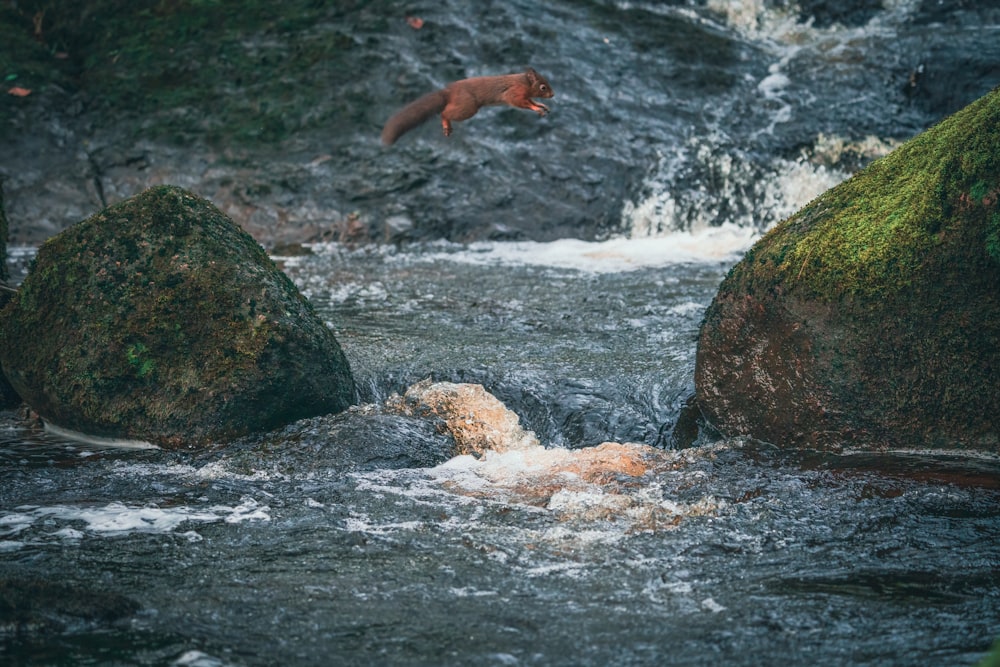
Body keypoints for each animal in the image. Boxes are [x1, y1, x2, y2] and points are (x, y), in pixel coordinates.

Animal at [380, 67, 556, 145]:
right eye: (543, 87)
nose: (553, 94)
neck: (524, 82)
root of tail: (449, 91)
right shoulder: (515, 93)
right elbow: (521, 102)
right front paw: (537, 108)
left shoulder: (525, 95)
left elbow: (532, 102)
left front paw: (541, 106)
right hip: (467, 107)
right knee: (444, 113)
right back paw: (446, 124)